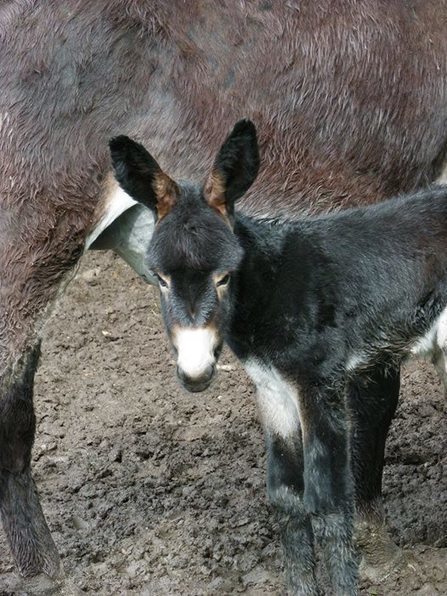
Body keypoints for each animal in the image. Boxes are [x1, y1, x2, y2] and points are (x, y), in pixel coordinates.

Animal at [109, 122, 447, 596]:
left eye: (224, 276)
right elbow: (285, 496)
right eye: (160, 278)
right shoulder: (270, 388)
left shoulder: (318, 382)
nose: (195, 373)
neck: (268, 288)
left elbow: (327, 500)